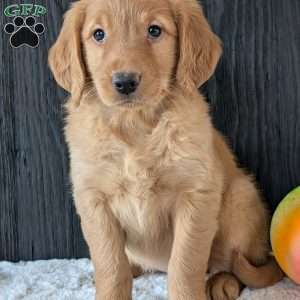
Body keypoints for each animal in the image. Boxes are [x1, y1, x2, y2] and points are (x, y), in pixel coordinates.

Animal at [48, 0, 282, 300]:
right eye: (98, 34)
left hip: (241, 198)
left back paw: (222, 282)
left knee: (237, 264)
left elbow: (185, 265)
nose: (125, 82)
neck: (135, 125)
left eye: (155, 30)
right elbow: (110, 267)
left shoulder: (195, 197)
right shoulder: (94, 200)